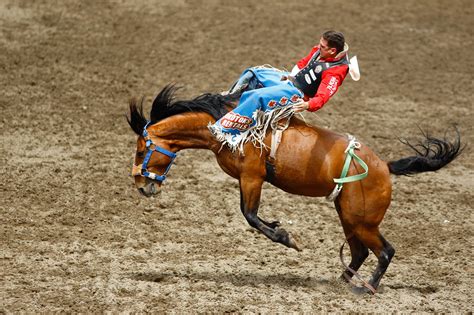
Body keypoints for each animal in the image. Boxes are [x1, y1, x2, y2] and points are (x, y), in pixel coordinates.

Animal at [128, 85, 462, 296]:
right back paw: (340, 282)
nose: (141, 185)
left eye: (141, 149)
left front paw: (288, 238)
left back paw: (366, 288)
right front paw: (282, 231)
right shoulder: (248, 179)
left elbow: (249, 214)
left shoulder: (252, 177)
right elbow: (250, 215)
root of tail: (385, 166)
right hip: (349, 217)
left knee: (385, 251)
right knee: (361, 252)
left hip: (363, 221)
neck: (225, 128)